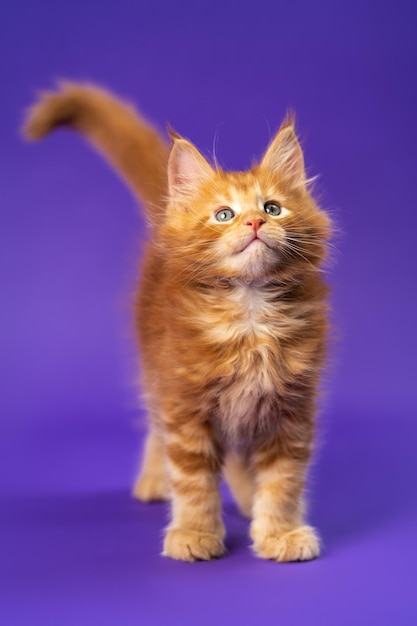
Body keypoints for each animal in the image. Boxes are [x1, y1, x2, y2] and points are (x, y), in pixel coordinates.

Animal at [25, 84, 332, 560]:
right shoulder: (185, 401)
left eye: (273, 208)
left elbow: (282, 480)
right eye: (224, 214)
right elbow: (194, 479)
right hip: (156, 372)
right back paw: (155, 480)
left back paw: (246, 497)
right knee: (158, 428)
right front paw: (195, 533)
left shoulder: (290, 409)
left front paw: (279, 532)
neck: (249, 313)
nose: (254, 221)